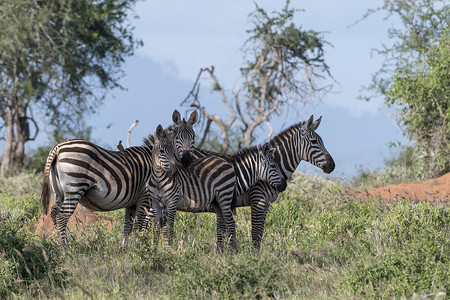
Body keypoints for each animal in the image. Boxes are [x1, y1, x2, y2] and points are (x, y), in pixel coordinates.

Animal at [40, 109, 197, 247]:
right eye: (178, 139)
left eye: (193, 137)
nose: (186, 160)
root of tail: (58, 147)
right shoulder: (145, 197)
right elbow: (141, 225)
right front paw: (139, 249)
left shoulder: (133, 202)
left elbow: (128, 225)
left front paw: (126, 249)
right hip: (74, 187)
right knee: (62, 217)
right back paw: (65, 249)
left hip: (60, 191)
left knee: (54, 213)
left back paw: (59, 245)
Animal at [193, 114, 334, 248]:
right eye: (314, 141)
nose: (332, 165)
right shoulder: (257, 200)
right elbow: (255, 233)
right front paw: (254, 256)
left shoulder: (266, 204)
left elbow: (260, 233)